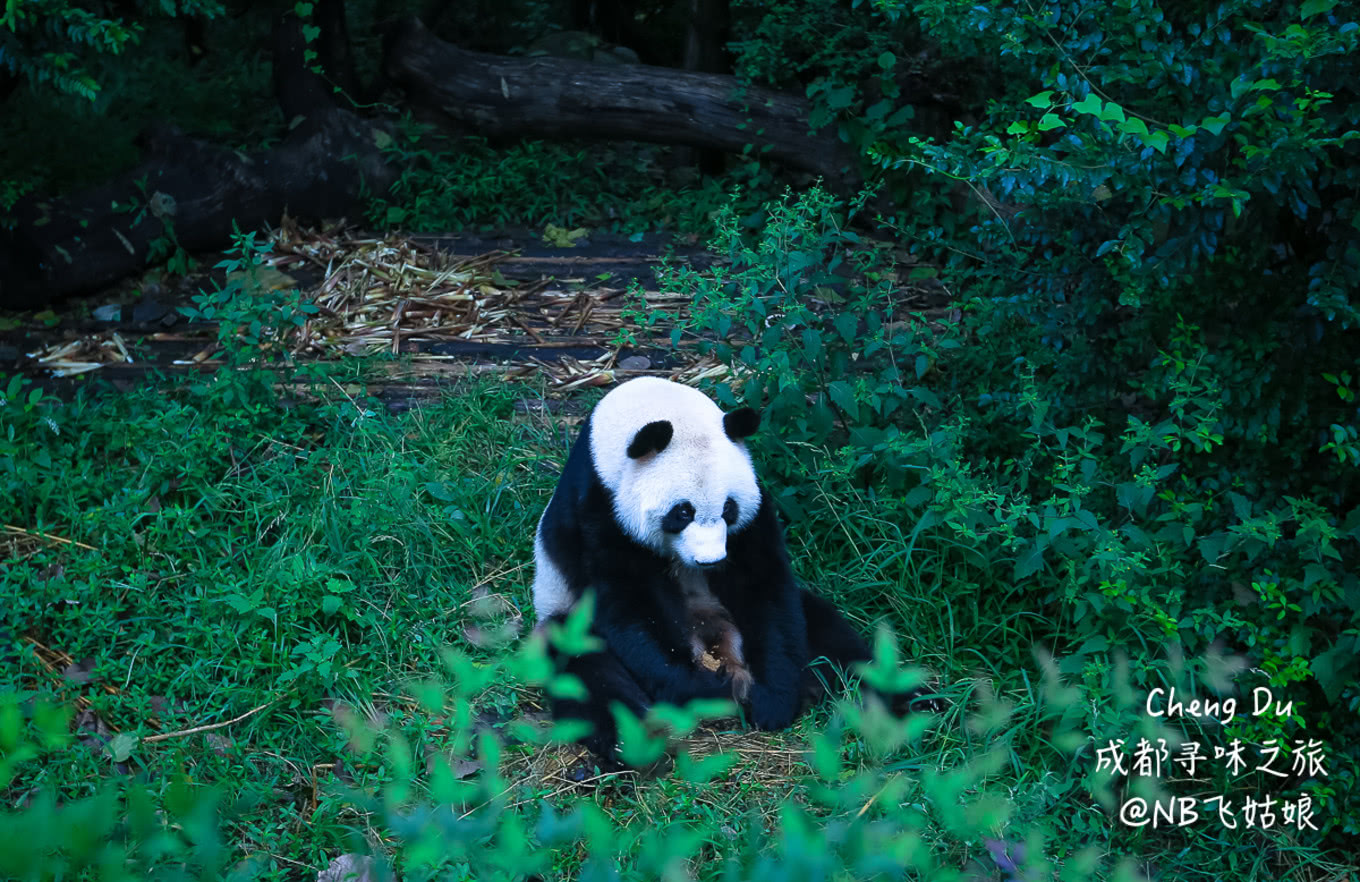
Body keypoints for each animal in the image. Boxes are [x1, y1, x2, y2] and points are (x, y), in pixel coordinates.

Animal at [535, 375, 908, 766]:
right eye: (682, 512)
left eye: (729, 508)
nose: (710, 561)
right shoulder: (599, 509)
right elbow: (633, 608)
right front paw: (707, 692)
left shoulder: (753, 510)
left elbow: (764, 587)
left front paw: (770, 701)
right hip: (563, 612)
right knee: (586, 671)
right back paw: (638, 744)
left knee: (831, 635)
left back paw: (893, 704)